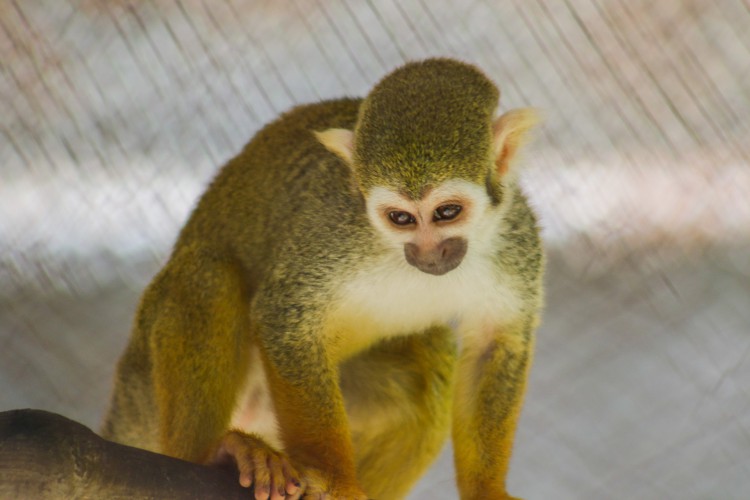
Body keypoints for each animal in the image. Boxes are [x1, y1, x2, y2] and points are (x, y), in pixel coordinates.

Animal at [103, 59, 544, 500]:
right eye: (400, 218)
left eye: (447, 212)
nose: (429, 254)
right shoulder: (332, 227)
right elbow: (284, 318)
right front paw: (335, 479)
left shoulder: (518, 240)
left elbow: (495, 343)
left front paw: (486, 489)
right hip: (146, 382)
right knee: (208, 274)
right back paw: (214, 454)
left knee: (431, 365)